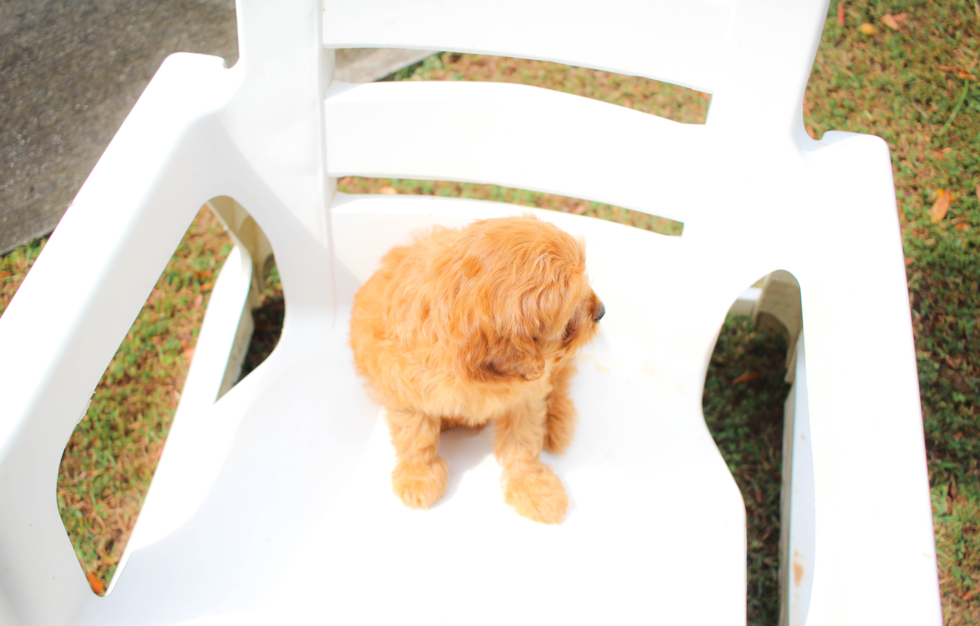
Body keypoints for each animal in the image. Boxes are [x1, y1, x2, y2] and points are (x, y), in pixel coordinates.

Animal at [348, 214, 600, 520]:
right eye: (569, 320)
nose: (601, 312)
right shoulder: (404, 387)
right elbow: (415, 436)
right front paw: (418, 477)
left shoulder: (526, 396)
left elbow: (524, 443)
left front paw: (535, 489)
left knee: (560, 382)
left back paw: (557, 423)